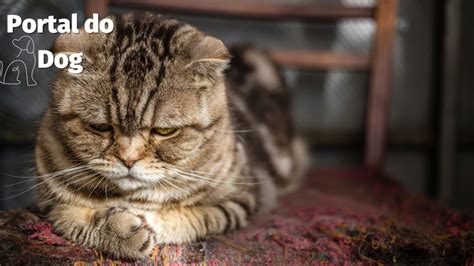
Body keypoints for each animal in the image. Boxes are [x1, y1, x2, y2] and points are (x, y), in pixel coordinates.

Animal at [35, 13, 306, 260]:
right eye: (100, 127)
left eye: (165, 131)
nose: (128, 160)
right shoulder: (47, 203)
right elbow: (70, 215)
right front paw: (120, 229)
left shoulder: (242, 199)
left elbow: (191, 216)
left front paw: (141, 222)